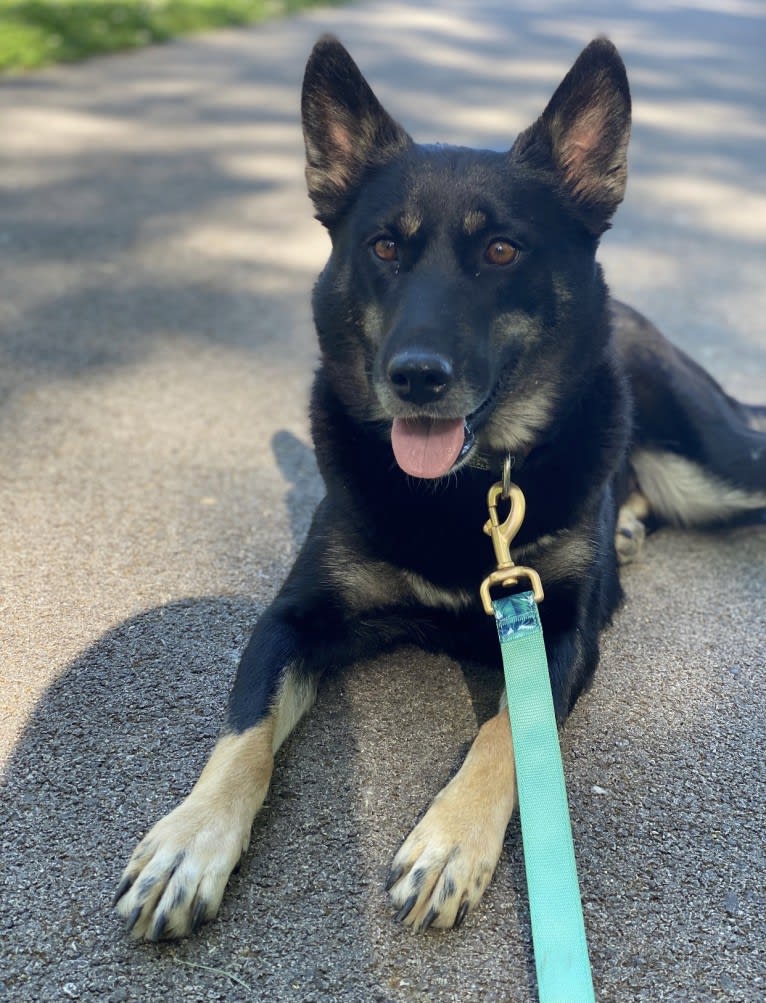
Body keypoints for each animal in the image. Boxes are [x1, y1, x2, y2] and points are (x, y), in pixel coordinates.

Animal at [115, 33, 766, 938]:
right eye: (384, 247)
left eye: (501, 250)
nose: (416, 378)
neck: (467, 490)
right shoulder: (293, 616)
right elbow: (243, 729)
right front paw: (192, 836)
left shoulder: (559, 628)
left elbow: (506, 730)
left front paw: (452, 840)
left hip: (720, 468)